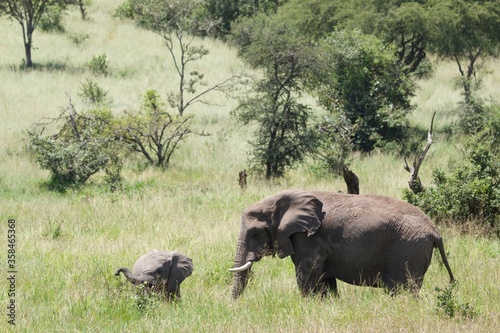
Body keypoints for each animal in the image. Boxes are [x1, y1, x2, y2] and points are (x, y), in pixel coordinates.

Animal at [229, 189, 456, 298]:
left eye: (255, 233)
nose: (233, 306)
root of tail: (435, 231)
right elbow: (326, 281)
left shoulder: (309, 238)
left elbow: (307, 275)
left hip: (408, 251)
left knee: (402, 290)